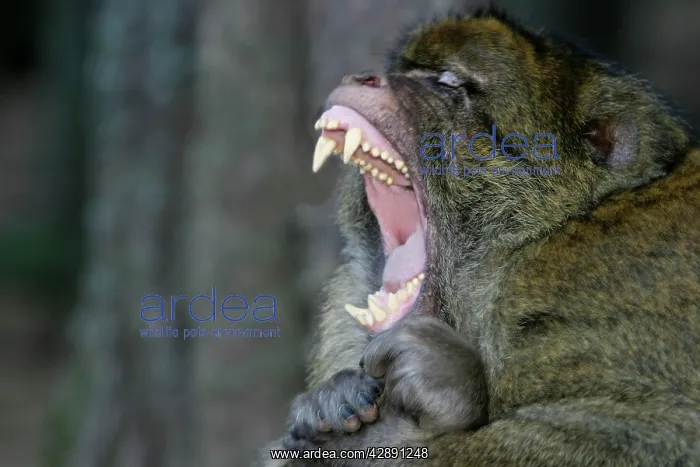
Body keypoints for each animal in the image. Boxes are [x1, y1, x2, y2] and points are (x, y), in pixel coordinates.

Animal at [258, 6, 700, 466]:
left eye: (448, 82)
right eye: (407, 71)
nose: (364, 78)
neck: (525, 244)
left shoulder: (587, 287)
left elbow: (653, 433)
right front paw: (334, 399)